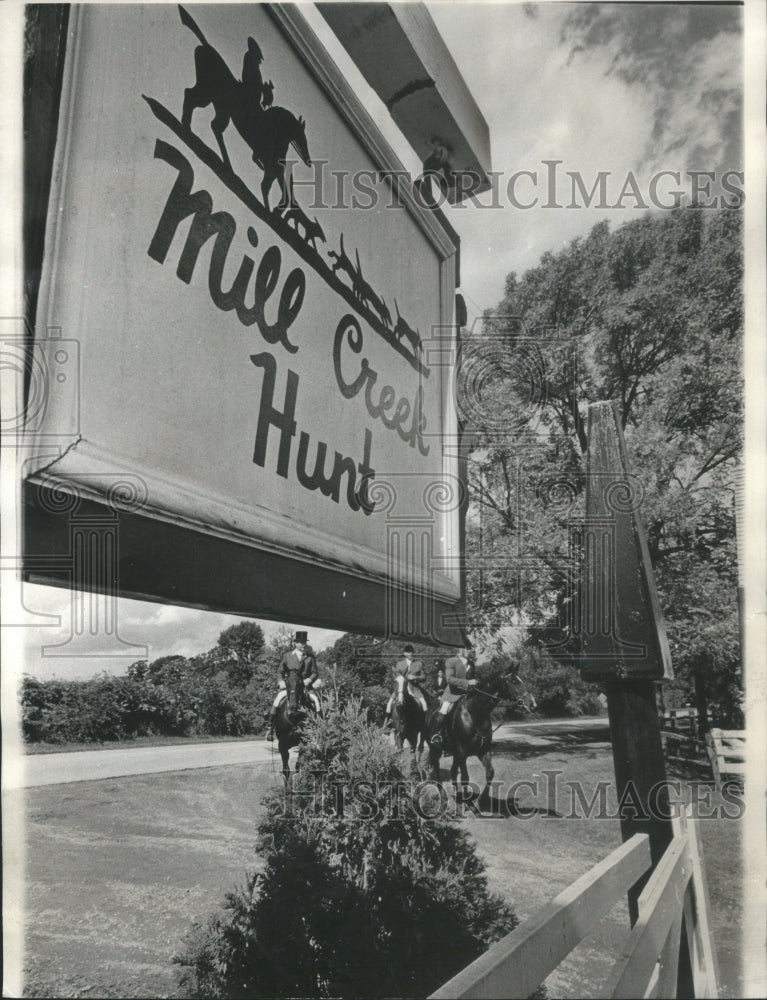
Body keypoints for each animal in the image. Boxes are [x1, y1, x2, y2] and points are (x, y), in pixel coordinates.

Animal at [180, 3, 312, 210]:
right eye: (301, 137)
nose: (308, 160)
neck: (278, 130)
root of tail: (205, 46)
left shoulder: (274, 165)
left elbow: (274, 185)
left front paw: (274, 209)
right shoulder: (271, 163)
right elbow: (269, 184)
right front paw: (273, 208)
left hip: (219, 105)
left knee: (214, 124)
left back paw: (225, 163)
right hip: (207, 91)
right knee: (190, 96)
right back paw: (187, 127)